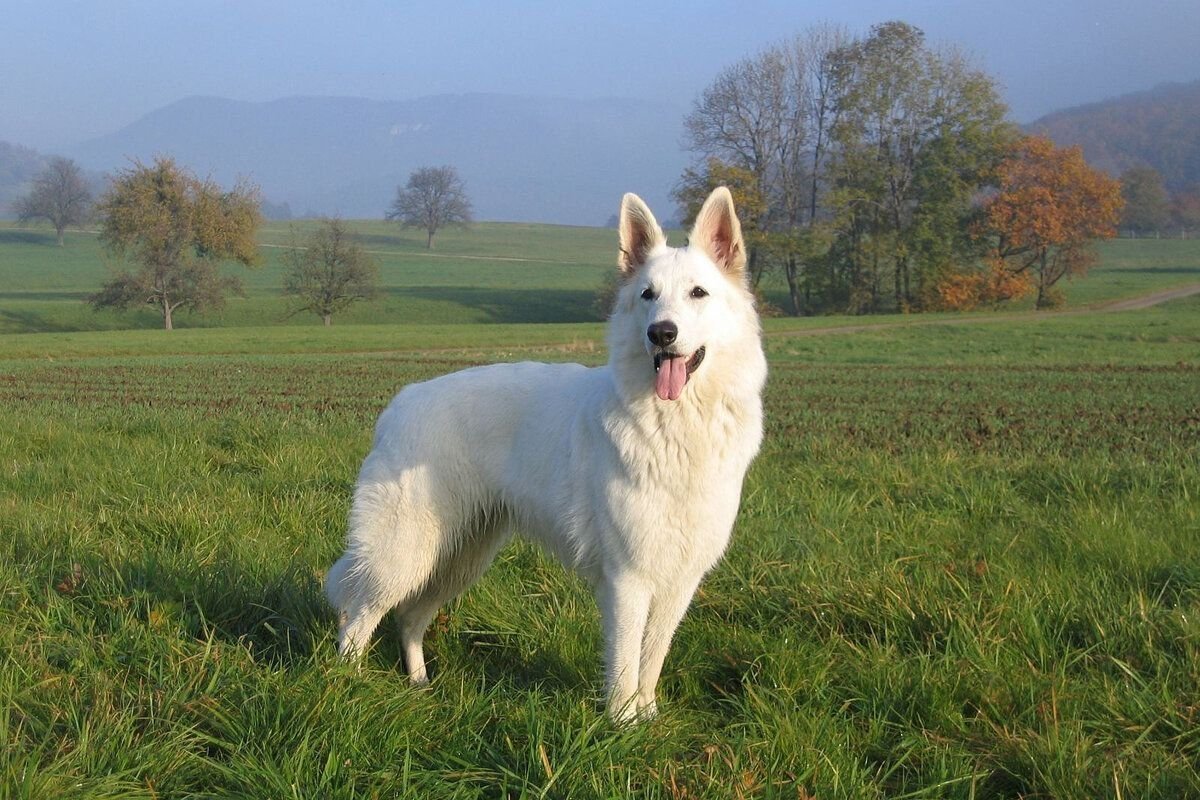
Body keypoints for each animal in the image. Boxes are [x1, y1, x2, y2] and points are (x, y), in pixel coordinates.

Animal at [321, 189, 768, 724]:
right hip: (405, 554)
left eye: (698, 293)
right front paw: (623, 724)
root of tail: (399, 404)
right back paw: (349, 689)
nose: (661, 333)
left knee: (408, 619)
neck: (677, 427)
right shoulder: (628, 580)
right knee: (357, 618)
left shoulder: (680, 580)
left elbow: (652, 659)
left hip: (460, 557)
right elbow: (625, 662)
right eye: (648, 295)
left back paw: (420, 685)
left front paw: (648, 717)